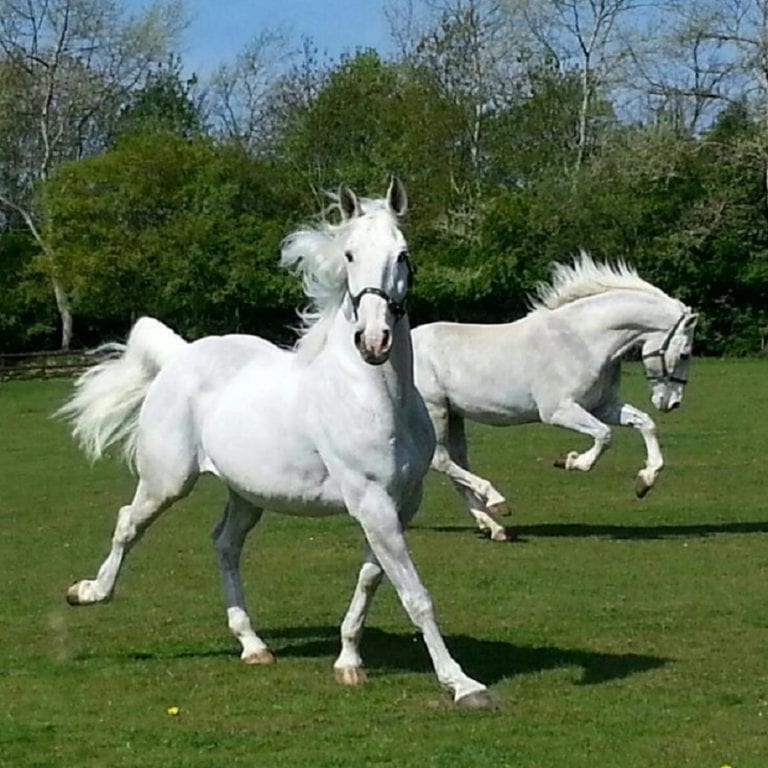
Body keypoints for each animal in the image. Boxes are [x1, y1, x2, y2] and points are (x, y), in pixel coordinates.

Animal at [58, 179, 492, 707]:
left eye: (403, 254)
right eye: (349, 254)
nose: (374, 341)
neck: (373, 395)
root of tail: (181, 356)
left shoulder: (400, 505)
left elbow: (371, 579)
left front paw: (348, 662)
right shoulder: (372, 504)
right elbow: (416, 596)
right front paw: (463, 684)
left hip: (248, 494)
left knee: (224, 545)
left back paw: (253, 645)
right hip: (167, 481)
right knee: (128, 525)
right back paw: (87, 592)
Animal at [413, 253, 697, 542]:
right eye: (685, 353)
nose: (672, 403)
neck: (582, 340)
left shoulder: (603, 406)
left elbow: (645, 423)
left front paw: (645, 481)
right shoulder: (559, 411)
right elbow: (604, 435)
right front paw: (572, 461)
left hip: (454, 415)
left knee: (456, 466)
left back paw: (494, 526)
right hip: (435, 410)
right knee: (440, 460)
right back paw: (497, 501)